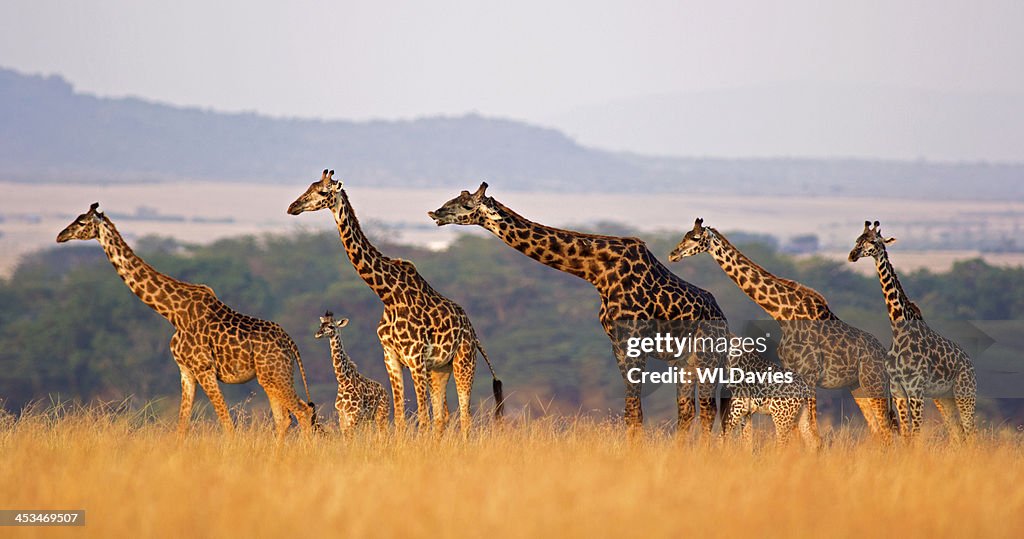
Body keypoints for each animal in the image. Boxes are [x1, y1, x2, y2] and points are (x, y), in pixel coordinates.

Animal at [56, 203, 317, 440]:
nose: (61, 236)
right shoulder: (186, 371)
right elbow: (182, 426)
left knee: (303, 412)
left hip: (274, 375)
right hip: (271, 377)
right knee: (284, 419)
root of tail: (291, 343)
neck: (172, 313)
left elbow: (227, 424)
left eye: (82, 222)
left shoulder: (204, 369)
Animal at [287, 170, 503, 434]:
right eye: (310, 187)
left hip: (463, 361)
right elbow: (400, 418)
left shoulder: (415, 358)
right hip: (439, 369)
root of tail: (473, 333)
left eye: (322, 191)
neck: (387, 294)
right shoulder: (391, 357)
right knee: (443, 416)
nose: (293, 207)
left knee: (464, 416)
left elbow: (422, 417)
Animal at [428, 183, 730, 437]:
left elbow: (634, 412)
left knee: (708, 409)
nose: (436, 213)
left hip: (707, 357)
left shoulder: (633, 340)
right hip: (684, 361)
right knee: (687, 411)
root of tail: (724, 321)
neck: (598, 271)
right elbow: (631, 412)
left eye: (467, 204)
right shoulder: (617, 343)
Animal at [669, 218, 897, 440]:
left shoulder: (809, 373)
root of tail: (883, 354)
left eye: (695, 237)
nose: (673, 254)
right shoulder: (793, 371)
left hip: (873, 382)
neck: (784, 313)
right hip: (857, 387)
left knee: (887, 428)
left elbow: (811, 431)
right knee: (878, 428)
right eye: (686, 235)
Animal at [849, 220, 976, 441]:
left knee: (971, 432)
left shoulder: (915, 389)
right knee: (957, 433)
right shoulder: (897, 389)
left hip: (964, 393)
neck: (898, 329)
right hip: (944, 398)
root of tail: (970, 364)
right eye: (858, 240)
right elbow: (907, 435)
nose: (852, 255)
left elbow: (915, 435)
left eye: (873, 241)